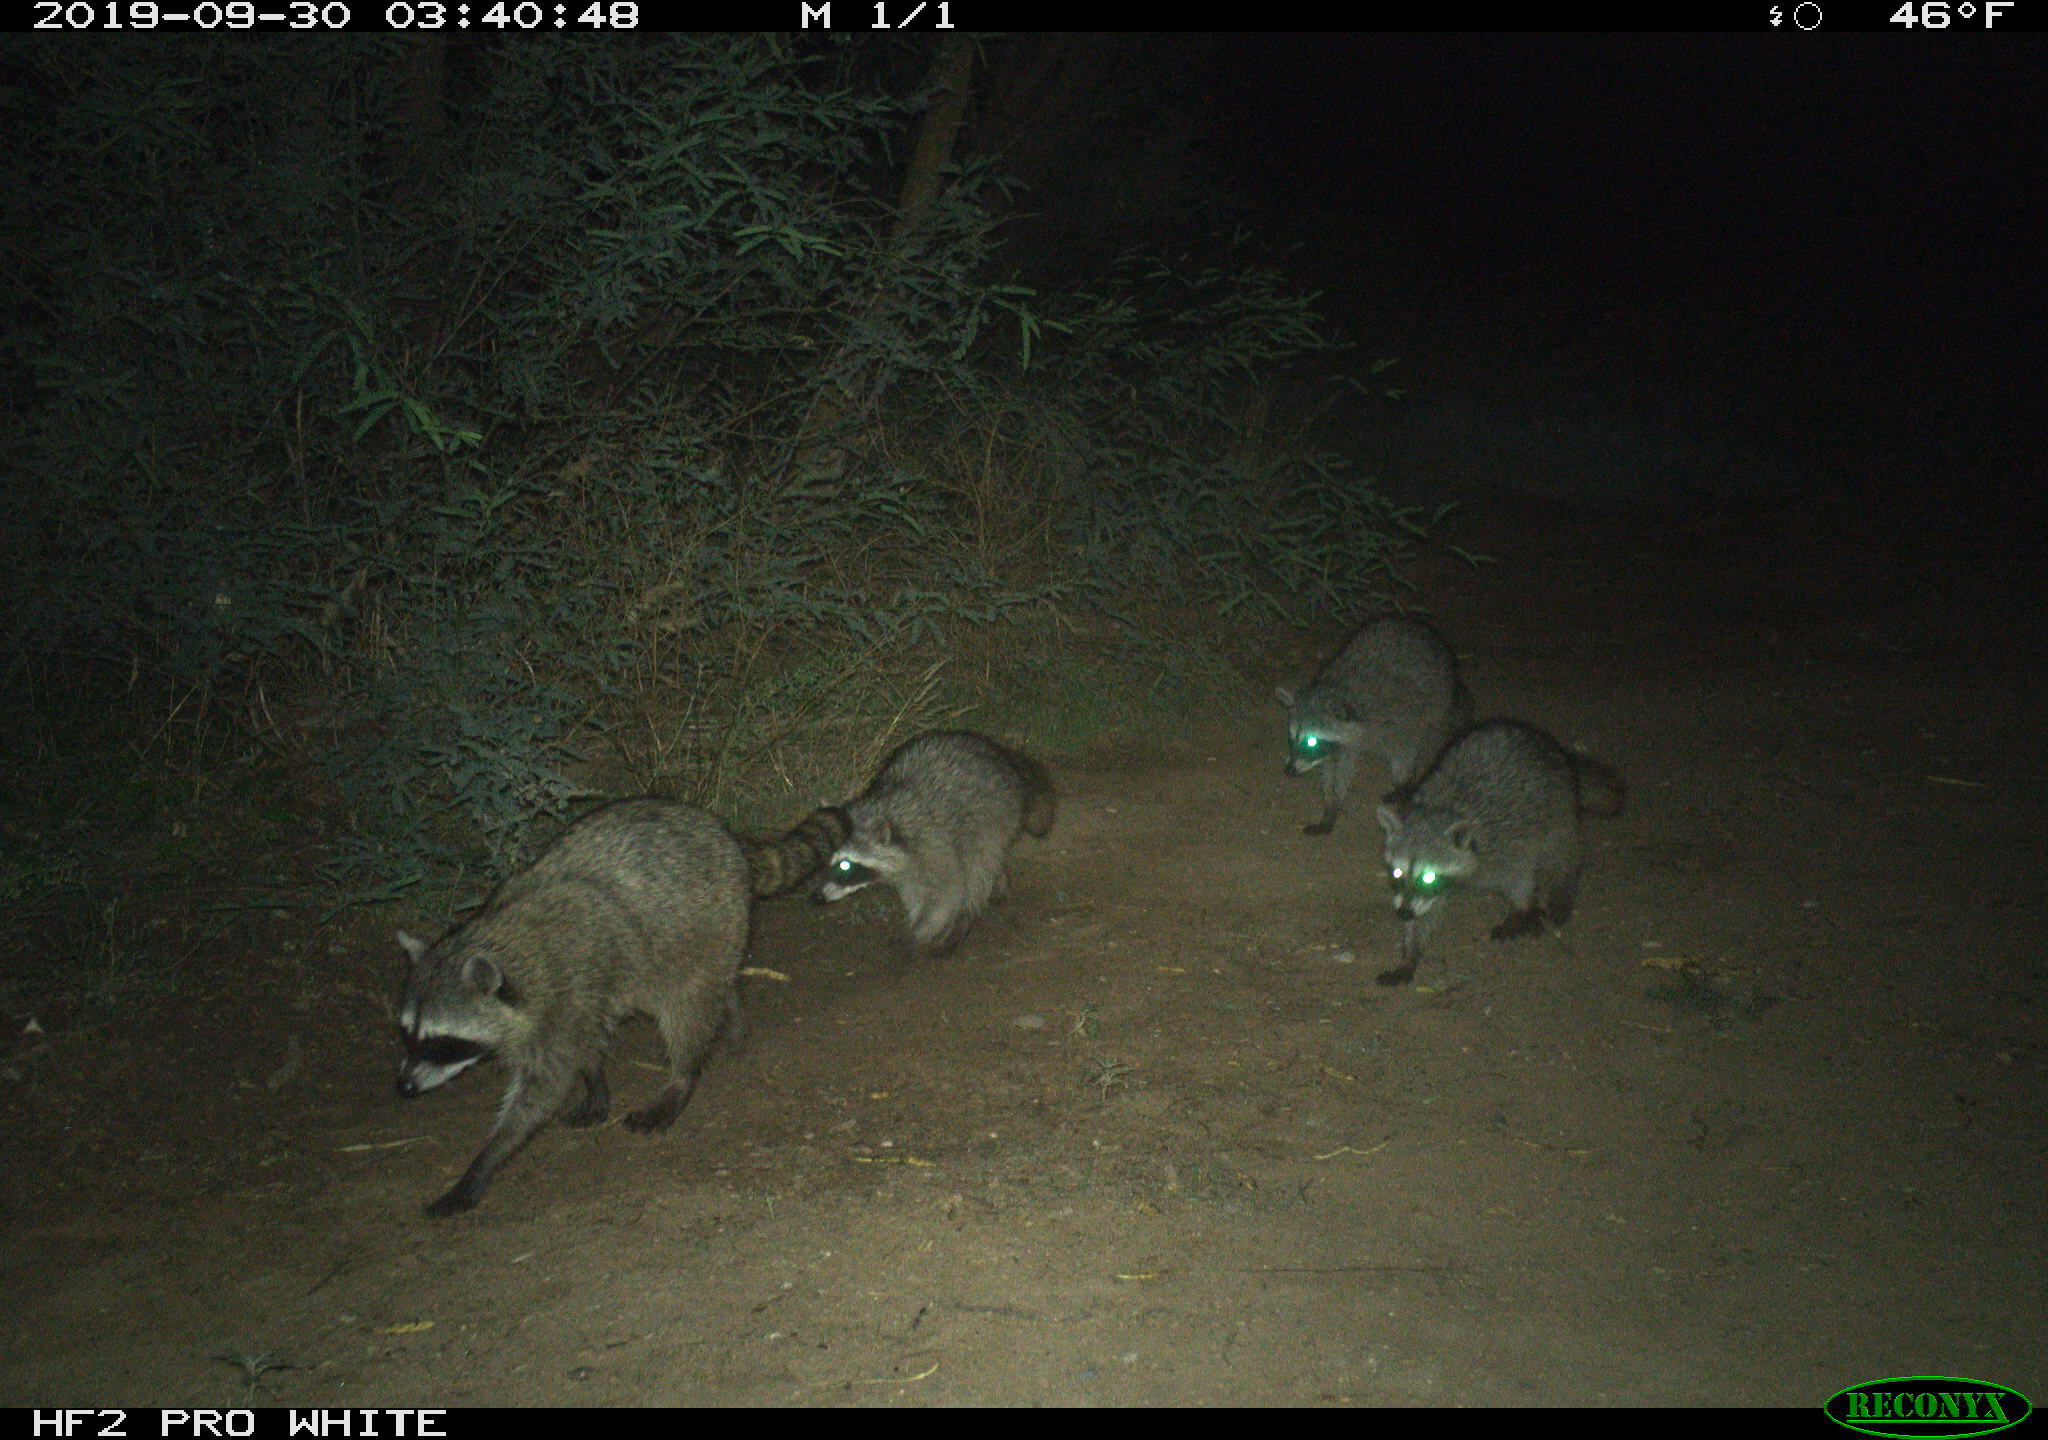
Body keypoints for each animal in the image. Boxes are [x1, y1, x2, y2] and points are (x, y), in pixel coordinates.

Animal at [395, 798, 846, 1217]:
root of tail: (725, 834)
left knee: (687, 1004)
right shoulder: (575, 1003)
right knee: (710, 982)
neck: (504, 942)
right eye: (407, 1034)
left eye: (441, 1042)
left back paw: (683, 1075)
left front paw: (486, 1160)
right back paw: (731, 1010)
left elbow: (542, 1092)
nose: (404, 1088)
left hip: (706, 919)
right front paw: (595, 1082)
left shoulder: (567, 990)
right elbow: (587, 1045)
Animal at [814, 729, 1056, 955]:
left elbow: (947, 893)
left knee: (979, 867)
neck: (884, 807)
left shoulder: (934, 845)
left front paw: (921, 930)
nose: (817, 897)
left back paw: (965, 918)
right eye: (828, 861)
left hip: (994, 815)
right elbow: (915, 893)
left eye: (846, 865)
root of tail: (1000, 753)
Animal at [1278, 615, 1473, 836]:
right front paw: (1331, 804)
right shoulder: (1342, 745)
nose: (1289, 770)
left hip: (1437, 702)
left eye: (1311, 742)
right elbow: (1336, 771)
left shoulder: (1397, 720)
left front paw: (1403, 783)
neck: (1336, 691)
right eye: (1291, 737)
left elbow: (1404, 753)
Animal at [1373, 719, 1625, 987]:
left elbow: (1522, 879)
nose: (1403, 913)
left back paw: (1562, 888)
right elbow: (1424, 914)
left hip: (1556, 806)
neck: (1440, 811)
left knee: (1563, 851)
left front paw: (1523, 907)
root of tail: (1553, 747)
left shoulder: (1510, 845)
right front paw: (1410, 953)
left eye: (1428, 877)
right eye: (1397, 873)